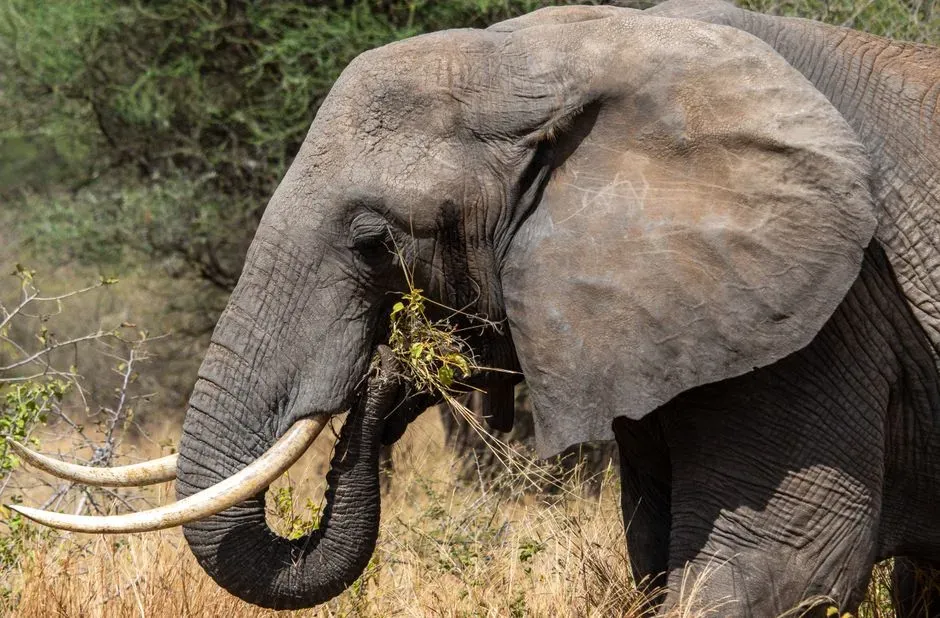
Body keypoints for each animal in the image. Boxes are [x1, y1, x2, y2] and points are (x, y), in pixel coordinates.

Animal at [9, 2, 939, 616]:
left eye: (374, 240)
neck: (580, 48)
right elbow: (656, 558)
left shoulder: (833, 312)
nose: (395, 365)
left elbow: (769, 572)